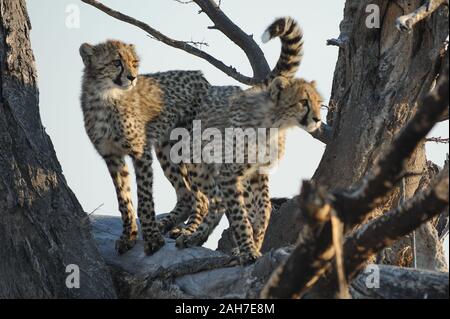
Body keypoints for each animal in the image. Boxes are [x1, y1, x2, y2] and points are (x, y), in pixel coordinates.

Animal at [78, 40, 209, 255]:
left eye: (134, 62)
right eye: (116, 62)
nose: (132, 77)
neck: (106, 96)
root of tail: (199, 75)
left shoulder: (141, 152)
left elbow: (145, 199)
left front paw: (152, 238)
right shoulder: (112, 156)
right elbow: (123, 199)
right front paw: (128, 236)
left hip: (190, 148)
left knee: (203, 198)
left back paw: (188, 232)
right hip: (167, 149)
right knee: (186, 194)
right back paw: (167, 223)